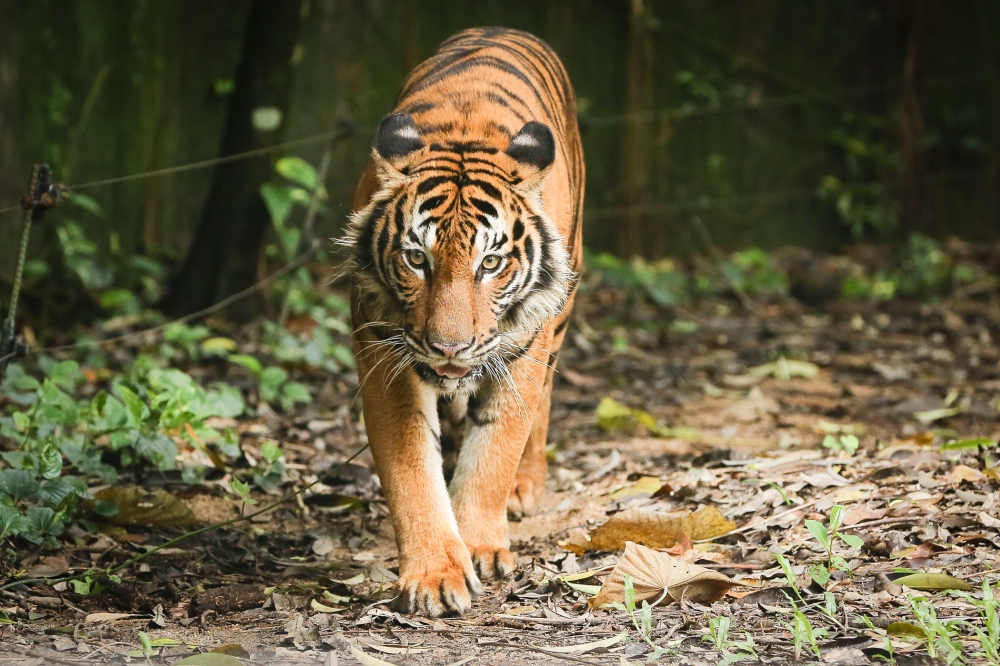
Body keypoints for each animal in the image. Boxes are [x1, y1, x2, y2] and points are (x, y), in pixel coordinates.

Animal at [343, 27, 584, 616]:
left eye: (490, 264)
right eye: (416, 259)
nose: (449, 347)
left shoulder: (523, 347)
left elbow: (494, 450)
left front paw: (478, 546)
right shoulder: (384, 355)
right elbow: (410, 468)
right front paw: (434, 574)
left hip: (560, 314)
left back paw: (524, 487)